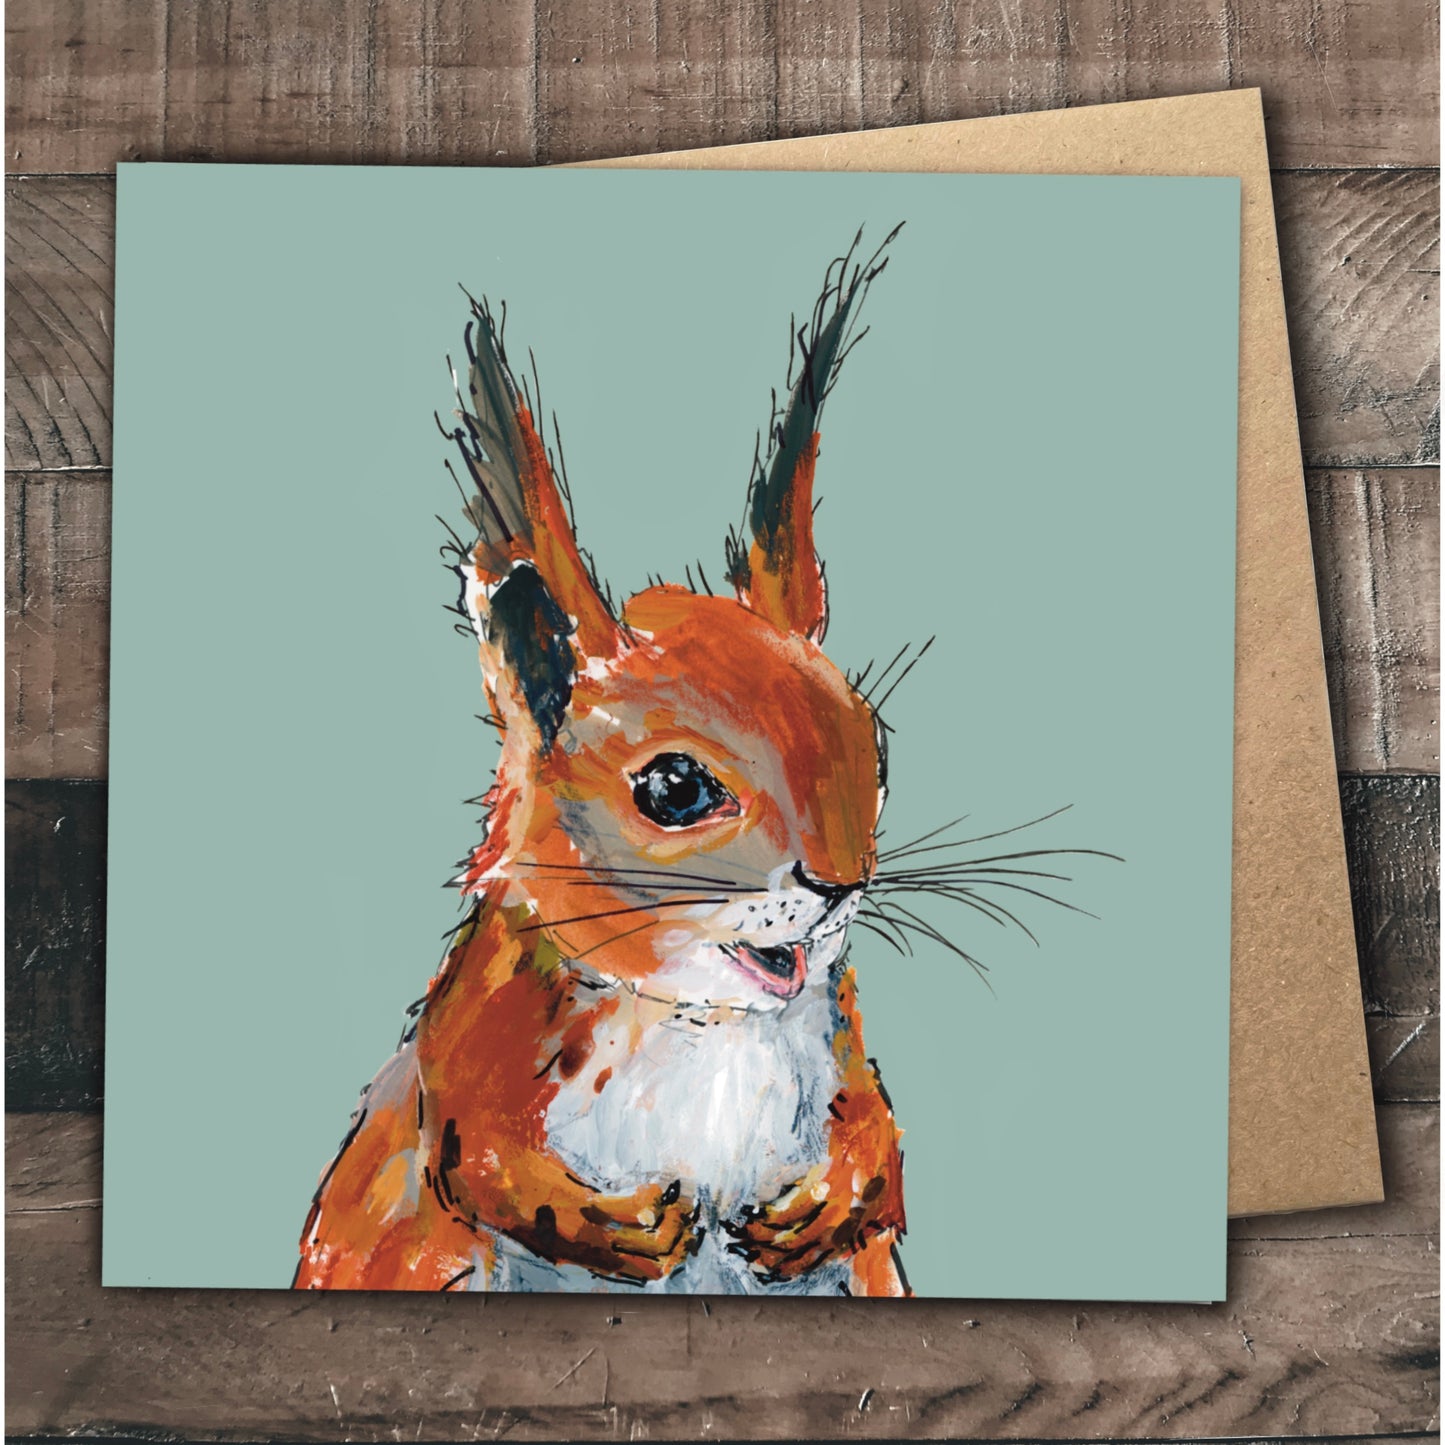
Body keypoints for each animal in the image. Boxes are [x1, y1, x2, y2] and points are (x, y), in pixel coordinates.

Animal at [295, 228, 909, 1296]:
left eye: (872, 747)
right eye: (672, 787)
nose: (840, 885)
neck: (697, 1015)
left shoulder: (838, 1025)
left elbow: (880, 1141)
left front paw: (824, 1200)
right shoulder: (473, 1029)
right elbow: (471, 1151)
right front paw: (615, 1224)